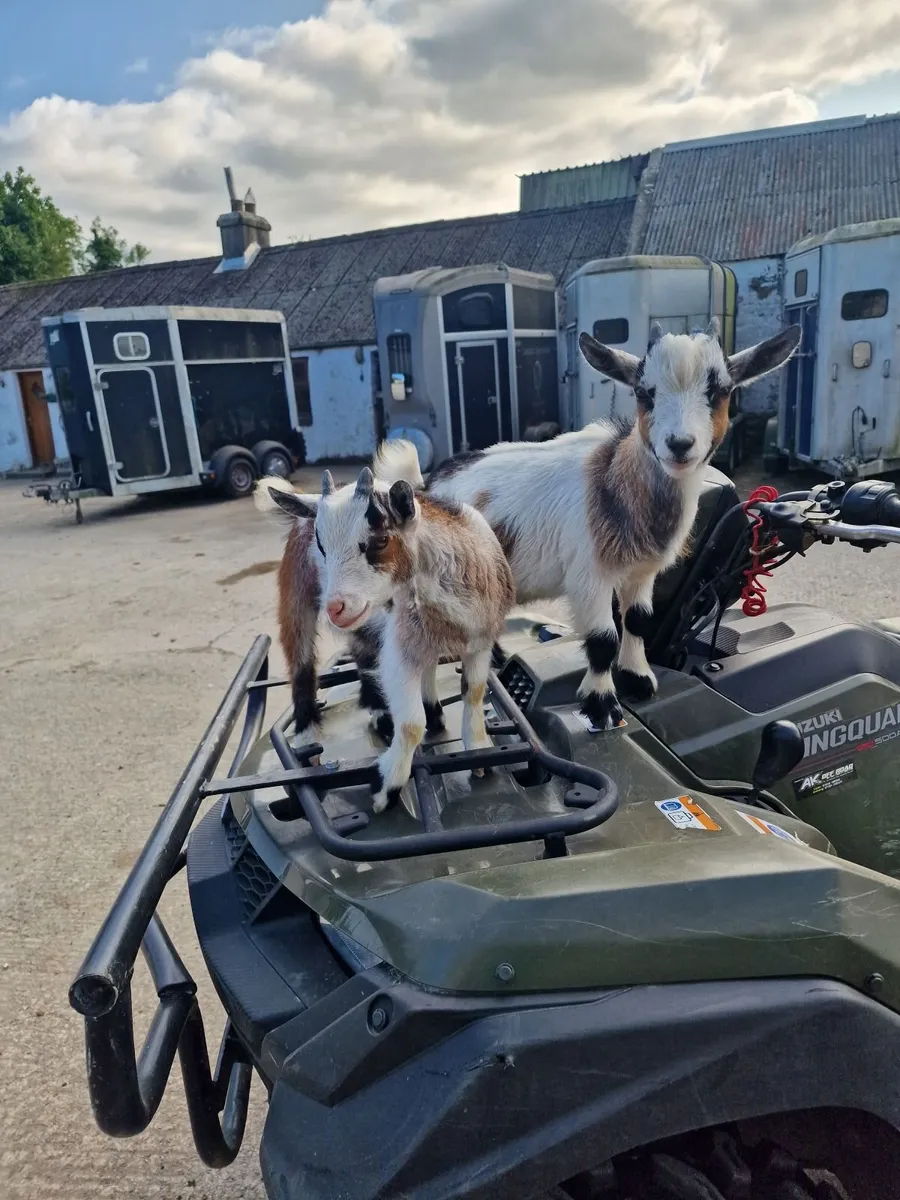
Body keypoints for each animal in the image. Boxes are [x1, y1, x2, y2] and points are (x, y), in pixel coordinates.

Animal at [258, 464, 515, 813]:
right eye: (321, 546)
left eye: (380, 540)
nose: (335, 608)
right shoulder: (400, 653)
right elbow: (410, 723)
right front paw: (386, 789)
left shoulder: (479, 643)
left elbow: (474, 693)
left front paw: (478, 752)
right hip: (297, 599)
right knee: (302, 665)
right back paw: (309, 742)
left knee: (370, 652)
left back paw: (420, 711)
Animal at [426, 320, 801, 731]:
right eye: (644, 392)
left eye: (719, 390)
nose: (679, 444)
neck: (614, 481)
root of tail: (432, 480)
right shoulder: (589, 574)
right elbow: (603, 639)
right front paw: (601, 707)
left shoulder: (641, 572)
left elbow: (637, 621)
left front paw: (638, 680)